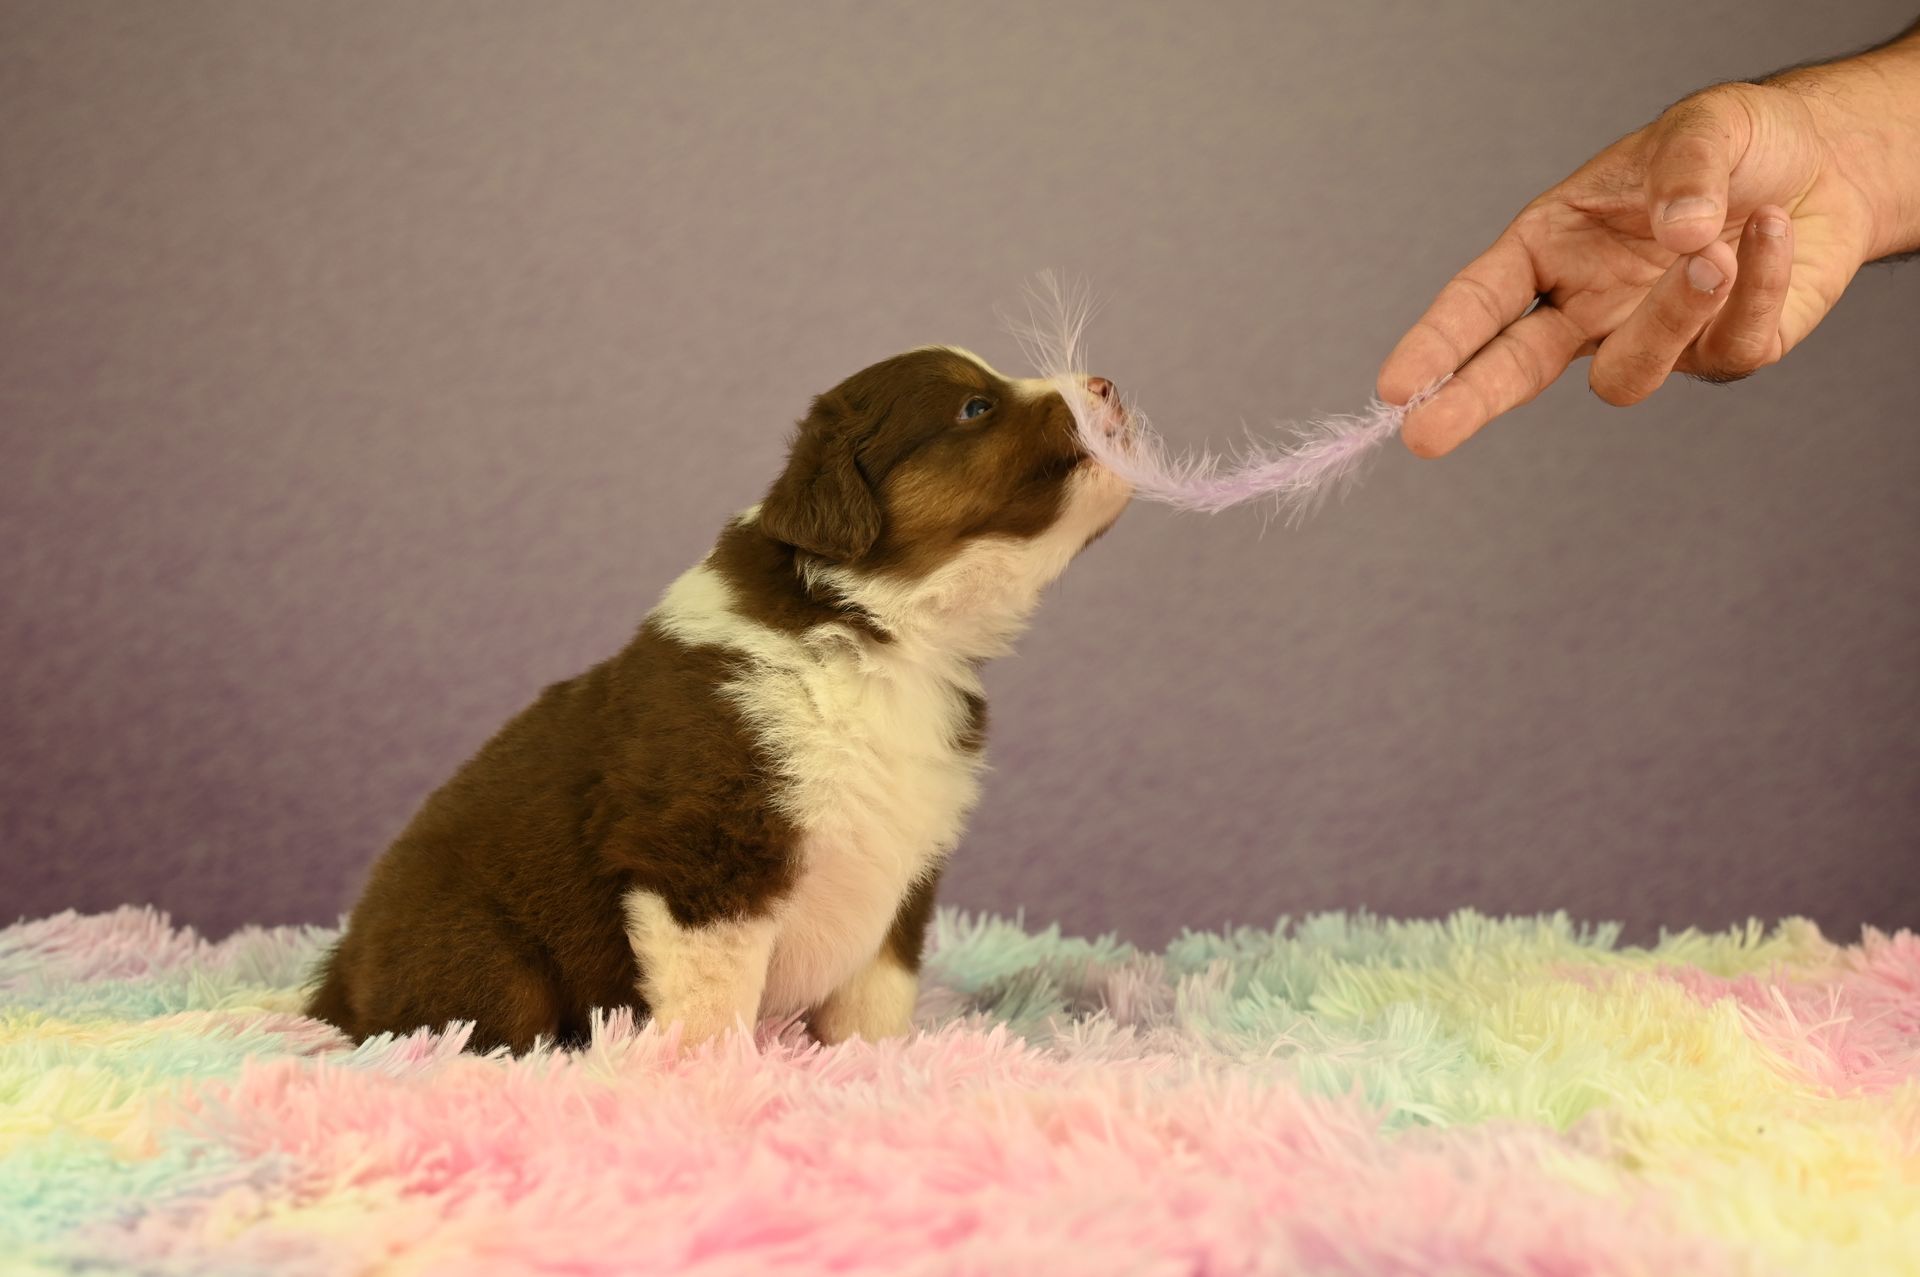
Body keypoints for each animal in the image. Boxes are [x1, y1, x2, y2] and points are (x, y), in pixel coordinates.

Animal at [306, 346, 1131, 1054]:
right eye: (974, 406)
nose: (1107, 386)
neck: (880, 637)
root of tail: (335, 980)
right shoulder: (707, 854)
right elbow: (712, 998)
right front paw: (712, 1078)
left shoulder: (905, 865)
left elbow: (877, 994)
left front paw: (880, 1064)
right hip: (482, 952)